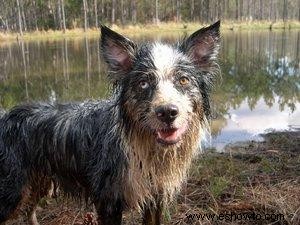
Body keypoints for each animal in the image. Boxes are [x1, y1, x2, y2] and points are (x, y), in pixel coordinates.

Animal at [0, 20, 220, 224]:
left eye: (183, 80)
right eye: (143, 83)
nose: (167, 112)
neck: (140, 145)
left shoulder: (155, 197)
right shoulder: (108, 201)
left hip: (38, 183)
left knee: (29, 212)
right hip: (12, 192)